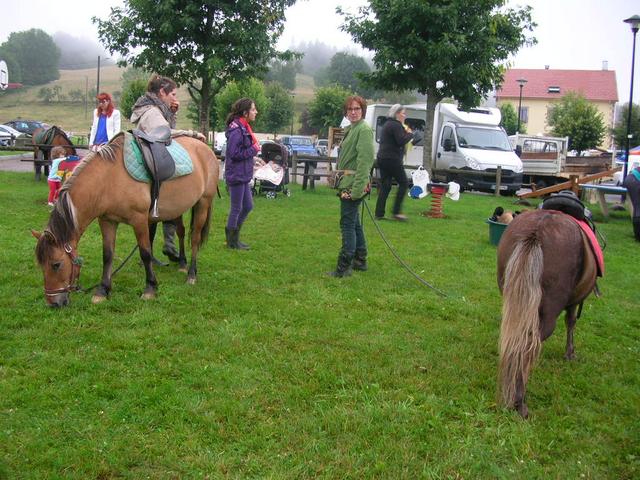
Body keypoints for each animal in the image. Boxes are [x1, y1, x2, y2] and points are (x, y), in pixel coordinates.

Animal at [33, 131, 220, 306]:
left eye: (56, 264)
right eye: (41, 265)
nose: (53, 303)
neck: (109, 179)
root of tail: (205, 147)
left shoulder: (139, 220)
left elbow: (145, 253)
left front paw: (150, 288)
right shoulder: (107, 221)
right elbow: (107, 255)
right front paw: (103, 290)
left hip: (203, 203)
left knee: (195, 238)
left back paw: (191, 274)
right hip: (177, 207)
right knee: (181, 232)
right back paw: (182, 264)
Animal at [496, 209, 600, 416]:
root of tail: (538, 229)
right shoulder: (573, 303)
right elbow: (571, 322)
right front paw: (570, 353)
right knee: (528, 343)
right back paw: (519, 400)